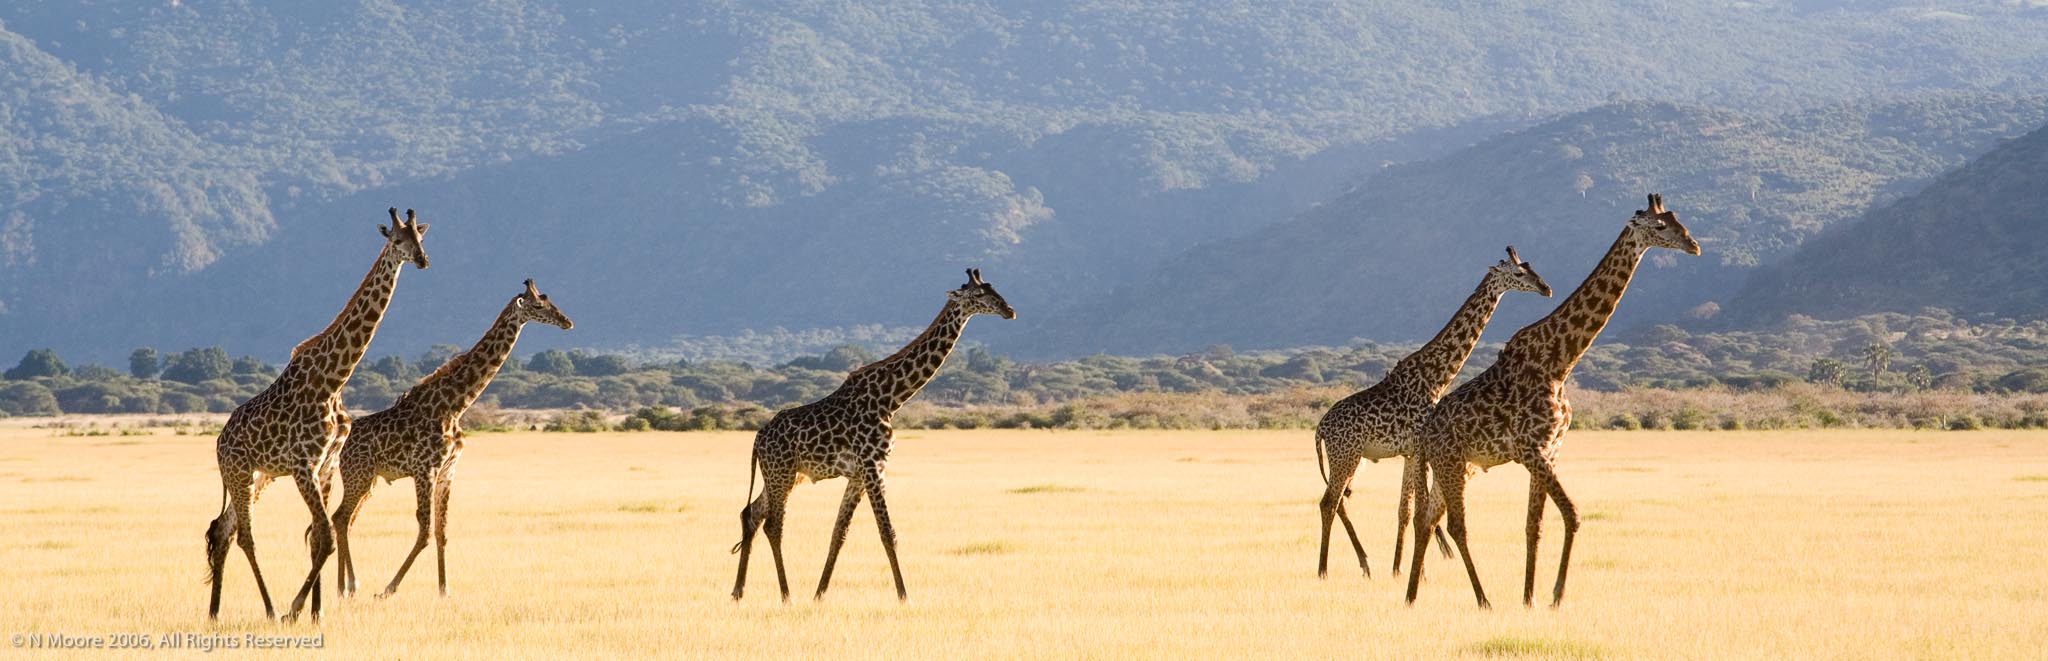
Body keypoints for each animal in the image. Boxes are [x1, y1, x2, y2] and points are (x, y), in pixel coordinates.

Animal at [205, 209, 430, 626]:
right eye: (396, 240)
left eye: (420, 238)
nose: (422, 260)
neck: (333, 380)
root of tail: (219, 440)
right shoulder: (303, 465)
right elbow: (322, 535)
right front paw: (296, 609)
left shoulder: (326, 465)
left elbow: (320, 538)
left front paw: (317, 612)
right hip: (240, 472)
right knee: (244, 535)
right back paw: (270, 608)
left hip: (257, 475)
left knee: (222, 529)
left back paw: (213, 612)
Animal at [331, 278, 577, 601]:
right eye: (539, 306)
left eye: (551, 302)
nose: (567, 322)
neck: (455, 405)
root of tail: (338, 446)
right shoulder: (426, 469)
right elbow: (424, 530)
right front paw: (388, 589)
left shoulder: (449, 470)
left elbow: (442, 531)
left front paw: (444, 589)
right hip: (358, 475)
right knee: (340, 518)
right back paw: (348, 586)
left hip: (367, 479)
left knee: (344, 520)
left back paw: (345, 586)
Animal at [737, 270, 1015, 605]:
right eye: (978, 296)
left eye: (994, 289)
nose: (1009, 310)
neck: (891, 399)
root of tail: (757, 438)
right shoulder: (873, 465)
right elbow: (887, 532)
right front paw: (904, 596)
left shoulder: (858, 474)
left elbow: (839, 533)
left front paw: (819, 595)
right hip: (782, 473)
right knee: (773, 525)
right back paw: (786, 595)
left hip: (786, 475)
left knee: (751, 513)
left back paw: (738, 592)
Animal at [1310, 244, 1548, 581]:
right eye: (1518, 273)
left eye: (1531, 267)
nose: (1546, 288)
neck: (1436, 376)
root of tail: (1320, 428)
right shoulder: (1421, 447)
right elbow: (1418, 508)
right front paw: (1418, 571)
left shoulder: (1411, 452)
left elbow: (1406, 510)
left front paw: (1400, 568)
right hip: (1346, 456)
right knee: (1328, 502)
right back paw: (1323, 569)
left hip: (1352, 459)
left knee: (1339, 501)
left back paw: (1365, 563)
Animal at [1400, 194, 1703, 609]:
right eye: (1659, 227)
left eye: (1678, 220)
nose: (1694, 245)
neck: (1559, 362)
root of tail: (1425, 433)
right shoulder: (1533, 450)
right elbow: (1572, 514)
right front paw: (1556, 595)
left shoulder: (1550, 450)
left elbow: (1534, 525)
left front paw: (1529, 598)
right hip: (1450, 463)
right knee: (1455, 525)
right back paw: (1482, 599)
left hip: (1461, 465)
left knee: (1427, 520)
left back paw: (1411, 597)